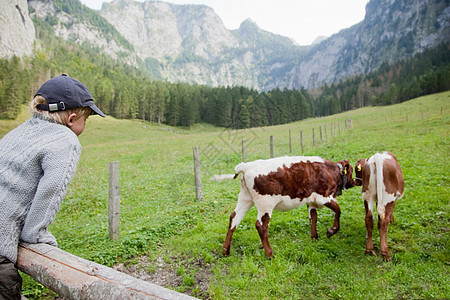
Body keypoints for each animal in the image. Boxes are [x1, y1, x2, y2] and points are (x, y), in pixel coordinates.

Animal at [221, 155, 356, 258]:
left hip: (245, 198)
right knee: (261, 226)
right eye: (351, 171)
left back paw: (226, 251)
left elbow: (313, 217)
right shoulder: (324, 197)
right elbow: (338, 210)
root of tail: (246, 166)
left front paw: (314, 238)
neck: (329, 171)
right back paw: (270, 254)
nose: (354, 182)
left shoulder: (311, 201)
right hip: (265, 204)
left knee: (234, 219)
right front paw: (331, 231)